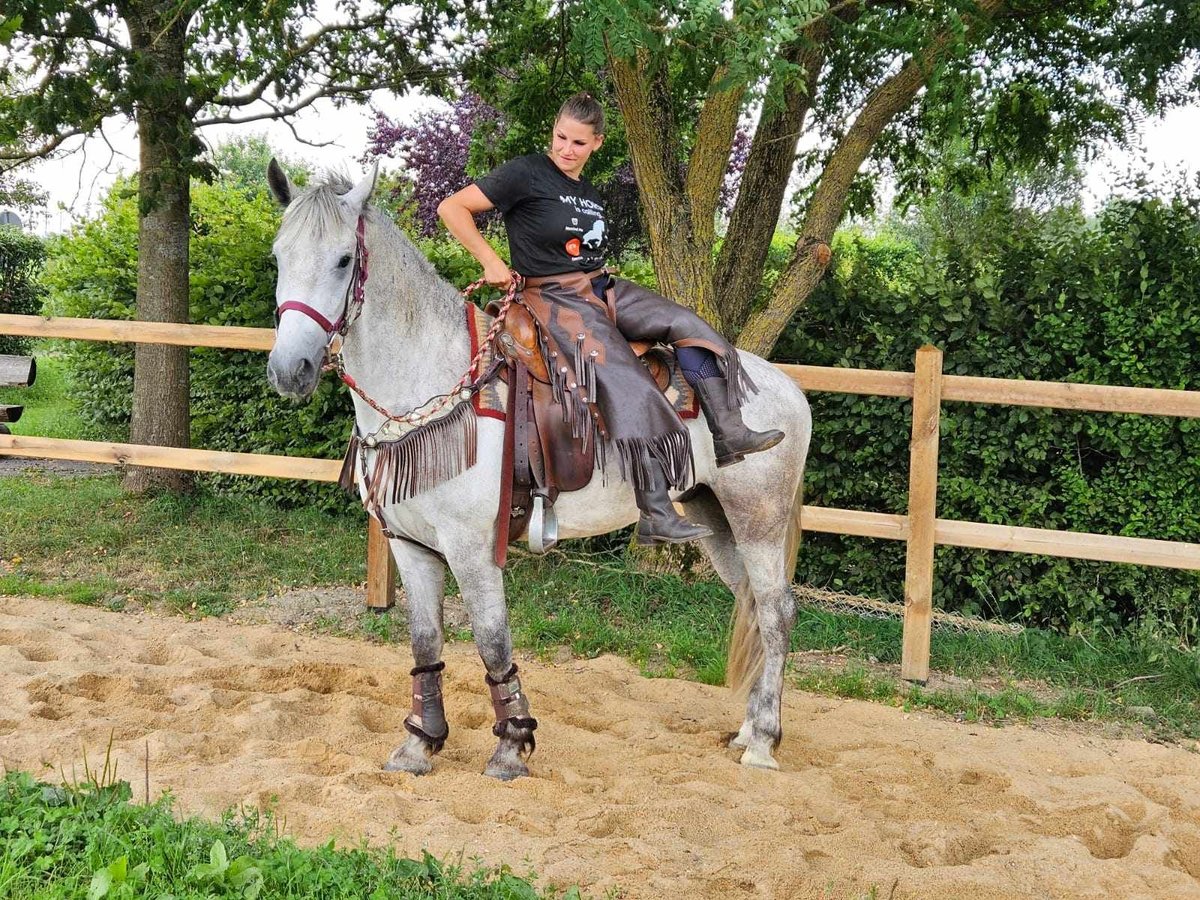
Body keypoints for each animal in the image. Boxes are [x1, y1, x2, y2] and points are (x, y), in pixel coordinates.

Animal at [266, 164, 811, 782]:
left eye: (342, 261)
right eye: (278, 257)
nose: (289, 370)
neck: (435, 384)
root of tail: (788, 389)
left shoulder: (473, 548)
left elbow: (492, 641)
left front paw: (511, 746)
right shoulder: (410, 543)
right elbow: (425, 643)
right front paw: (419, 744)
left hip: (758, 518)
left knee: (776, 610)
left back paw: (763, 740)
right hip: (713, 516)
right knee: (753, 605)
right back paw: (747, 730)